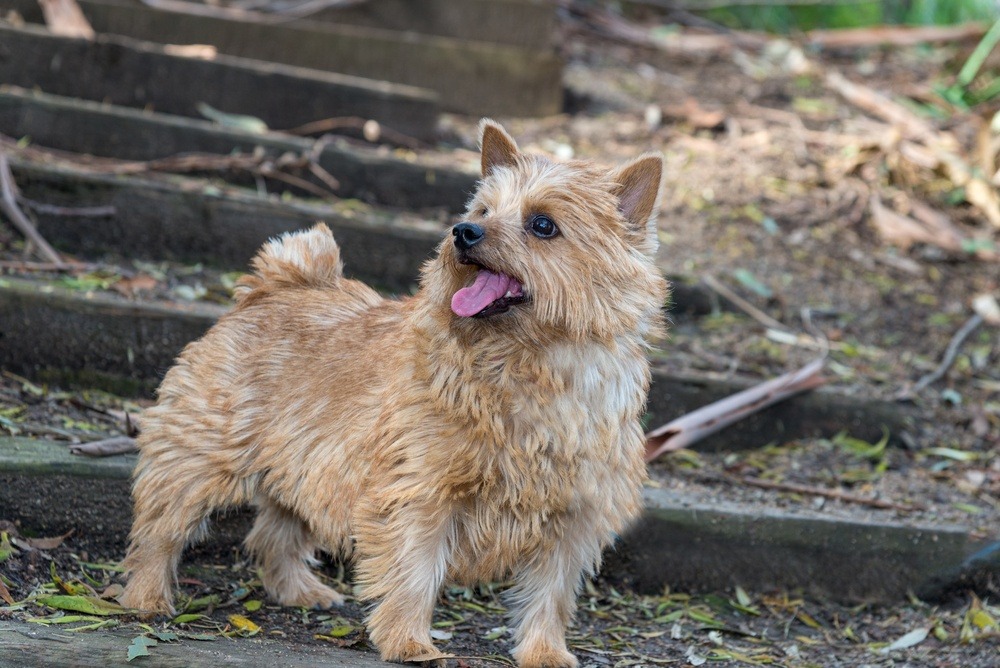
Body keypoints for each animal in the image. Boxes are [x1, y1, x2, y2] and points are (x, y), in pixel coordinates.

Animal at [121, 121, 668, 668]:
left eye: (543, 225)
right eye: (482, 211)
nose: (463, 232)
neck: (527, 364)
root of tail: (278, 285)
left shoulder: (574, 518)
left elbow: (551, 594)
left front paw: (545, 652)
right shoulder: (420, 489)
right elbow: (414, 571)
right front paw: (409, 643)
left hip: (305, 462)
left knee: (274, 531)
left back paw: (301, 590)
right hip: (201, 452)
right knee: (161, 526)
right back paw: (147, 597)